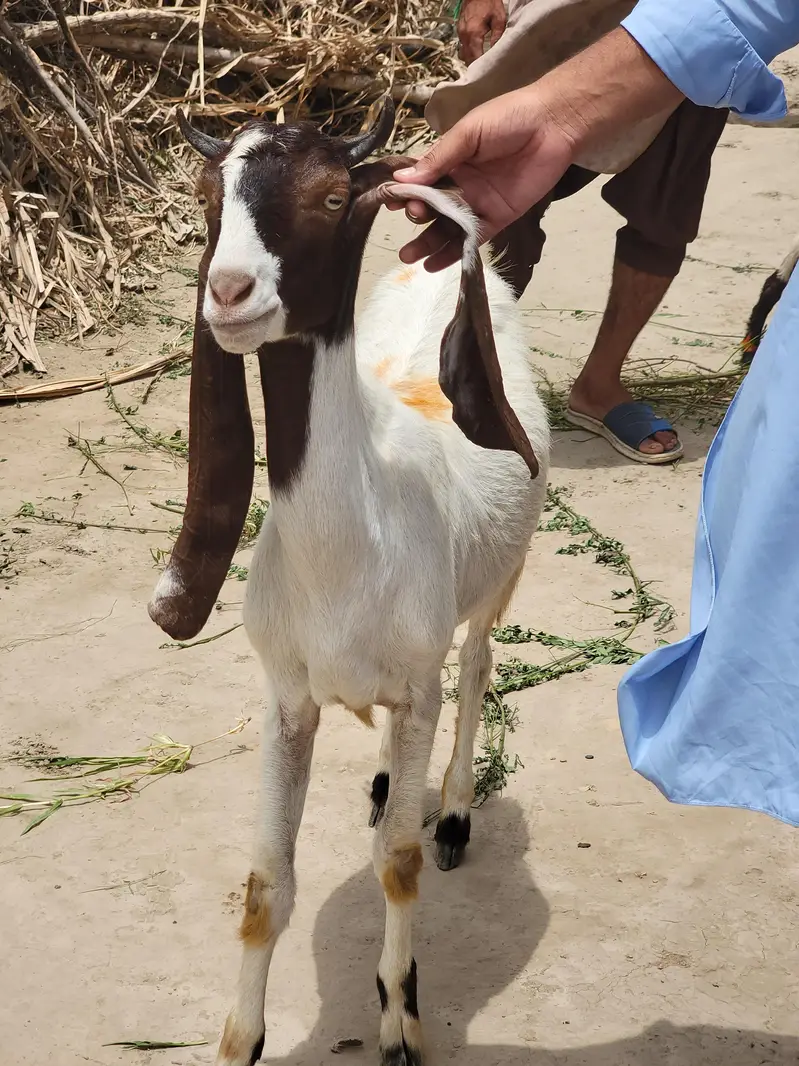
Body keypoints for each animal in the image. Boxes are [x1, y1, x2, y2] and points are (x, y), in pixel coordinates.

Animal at [148, 100, 550, 1066]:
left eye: (333, 196)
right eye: (208, 197)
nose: (230, 294)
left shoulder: (415, 681)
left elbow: (398, 867)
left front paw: (399, 1019)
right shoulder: (288, 698)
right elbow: (266, 885)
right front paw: (240, 1040)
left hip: (498, 581)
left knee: (477, 668)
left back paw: (452, 813)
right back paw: (382, 785)